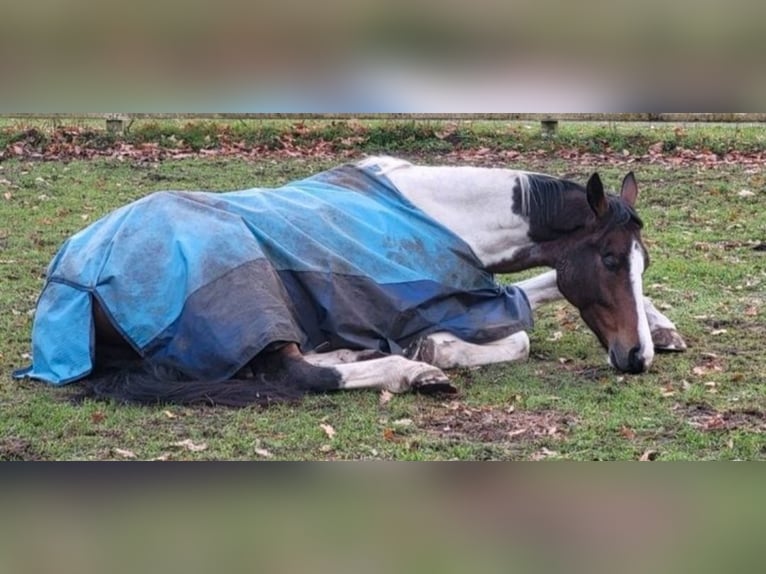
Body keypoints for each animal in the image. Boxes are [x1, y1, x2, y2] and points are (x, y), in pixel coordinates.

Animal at [15, 156, 686, 407]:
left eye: (642, 262)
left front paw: (663, 327)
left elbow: (544, 282)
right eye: (608, 259)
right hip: (252, 296)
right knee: (294, 372)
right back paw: (410, 372)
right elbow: (516, 332)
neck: (445, 218)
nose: (635, 359)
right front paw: (433, 351)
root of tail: (74, 282)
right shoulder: (447, 304)